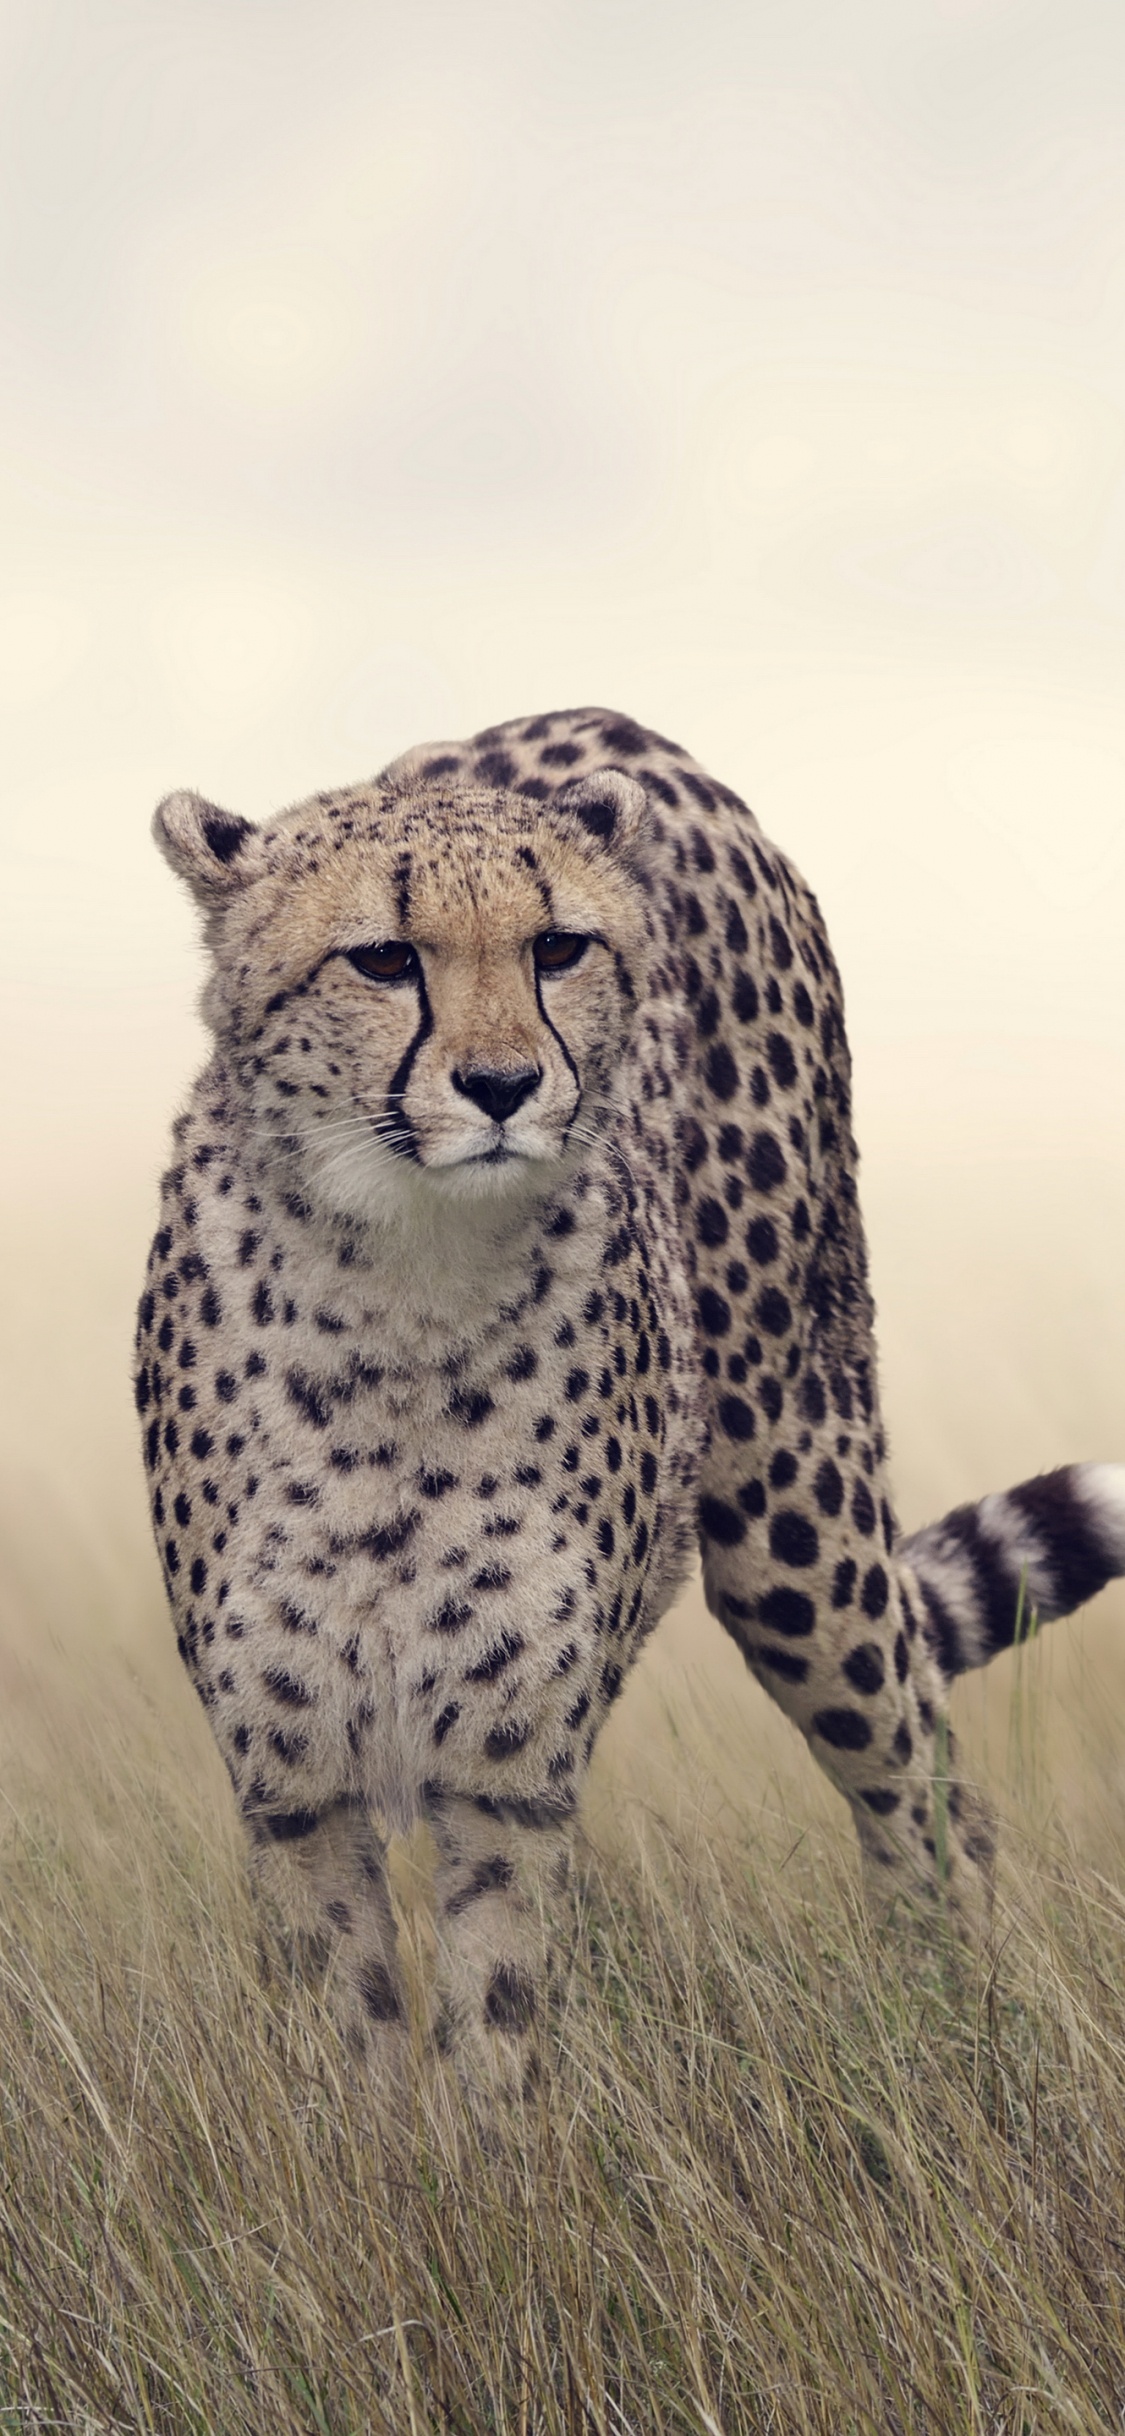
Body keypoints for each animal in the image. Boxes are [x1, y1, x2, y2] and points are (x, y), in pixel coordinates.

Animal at [136, 704, 1125, 2098]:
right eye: (383, 958)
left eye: (558, 947)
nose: (504, 1086)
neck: (403, 1287)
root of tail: (614, 726)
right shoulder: (294, 1783)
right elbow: (359, 2049)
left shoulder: (508, 1775)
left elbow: (494, 2039)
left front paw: (485, 2153)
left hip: (794, 1519)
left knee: (923, 1785)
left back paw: (948, 2036)